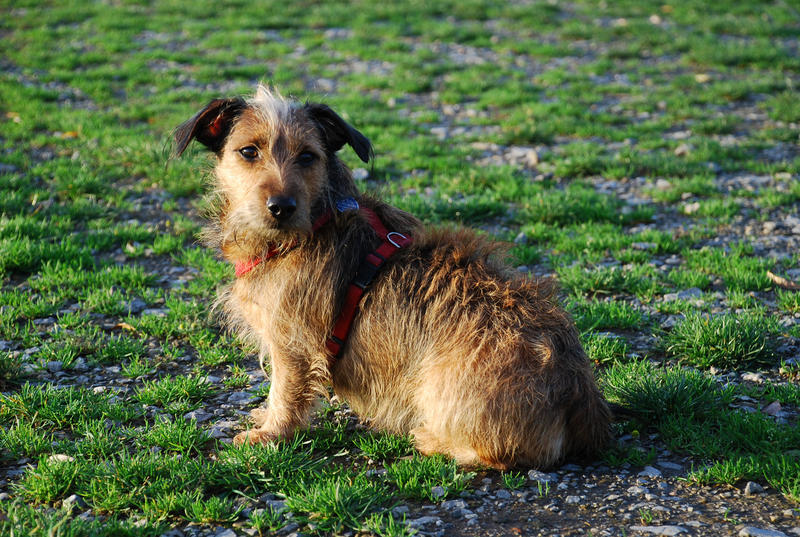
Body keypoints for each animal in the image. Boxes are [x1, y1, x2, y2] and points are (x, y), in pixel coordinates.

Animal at [177, 85, 612, 468]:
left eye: (308, 156)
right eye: (248, 152)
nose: (281, 206)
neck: (308, 228)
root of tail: (580, 397)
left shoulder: (293, 343)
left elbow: (286, 390)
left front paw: (270, 434)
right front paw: (263, 418)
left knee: (496, 455)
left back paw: (430, 439)